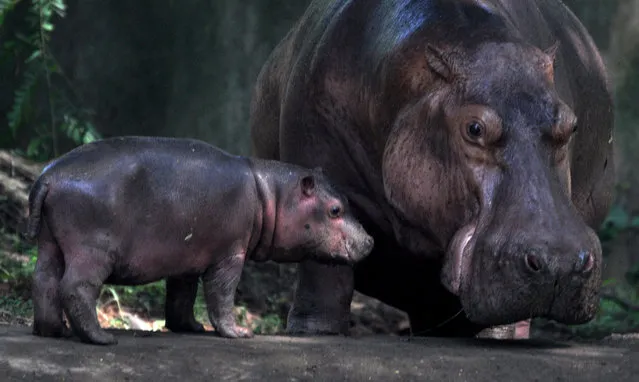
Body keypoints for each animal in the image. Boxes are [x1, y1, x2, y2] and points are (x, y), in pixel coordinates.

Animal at [26, 136, 376, 344]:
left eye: (345, 200)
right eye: (335, 209)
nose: (371, 241)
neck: (272, 193)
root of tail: (49, 176)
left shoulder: (187, 256)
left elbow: (182, 295)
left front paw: (190, 328)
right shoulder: (229, 255)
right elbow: (221, 294)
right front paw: (239, 333)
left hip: (50, 244)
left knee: (44, 280)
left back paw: (52, 331)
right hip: (93, 251)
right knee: (76, 286)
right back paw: (101, 337)